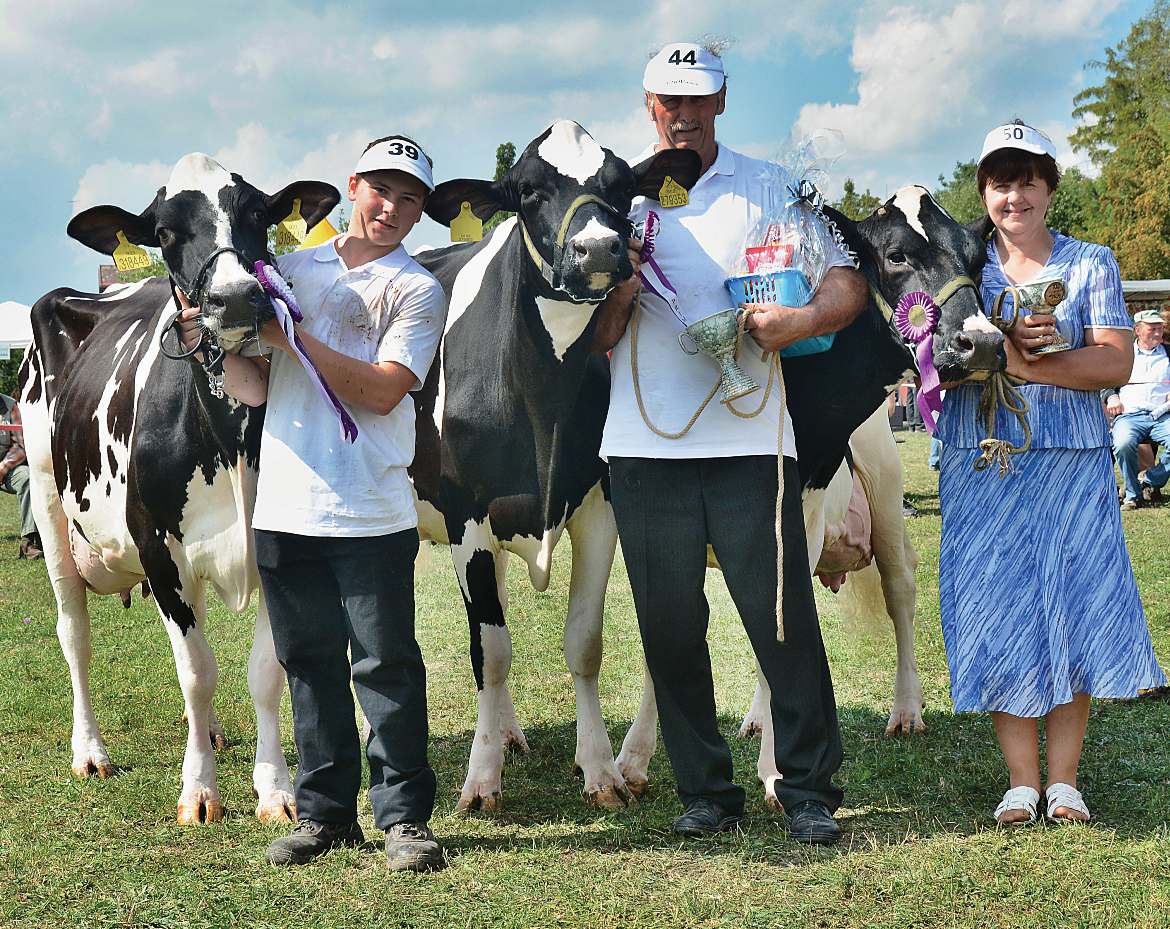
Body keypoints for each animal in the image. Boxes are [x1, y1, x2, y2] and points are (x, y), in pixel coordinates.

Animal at [19, 155, 339, 823]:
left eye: (258, 213)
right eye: (164, 233)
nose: (236, 295)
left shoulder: (280, 548)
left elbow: (264, 671)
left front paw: (274, 788)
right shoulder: (159, 552)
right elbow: (196, 672)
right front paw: (199, 790)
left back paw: (210, 731)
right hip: (49, 504)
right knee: (74, 634)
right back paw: (89, 751)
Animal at [411, 119, 697, 804]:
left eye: (619, 186)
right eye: (528, 193)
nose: (598, 250)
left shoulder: (600, 505)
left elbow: (583, 642)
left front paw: (599, 770)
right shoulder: (466, 513)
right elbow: (490, 649)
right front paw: (481, 780)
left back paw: (510, 733)